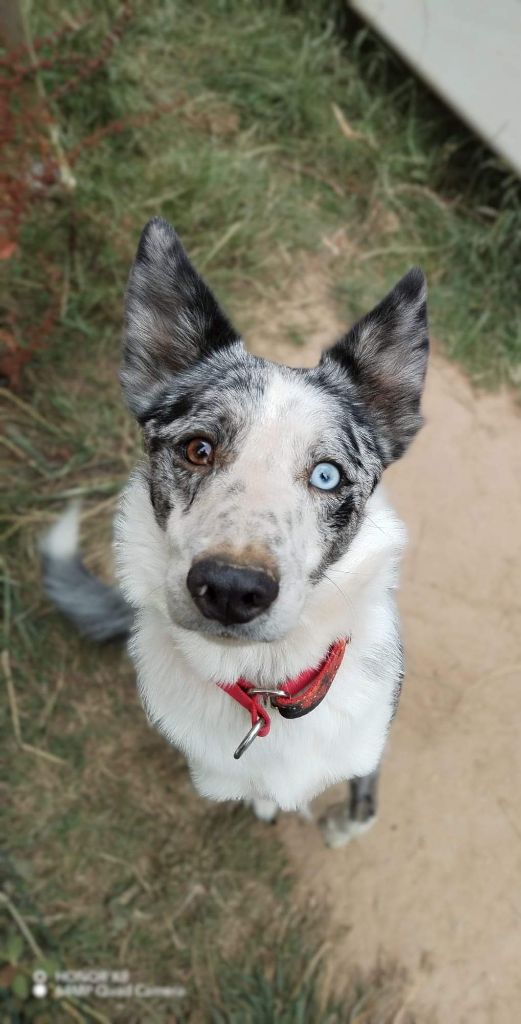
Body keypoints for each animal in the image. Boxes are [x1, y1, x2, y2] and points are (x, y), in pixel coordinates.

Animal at [42, 218, 427, 847]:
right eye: (198, 449)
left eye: (326, 475)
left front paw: (341, 826)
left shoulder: (369, 743)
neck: (270, 684)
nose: (230, 589)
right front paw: (270, 805)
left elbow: (362, 799)